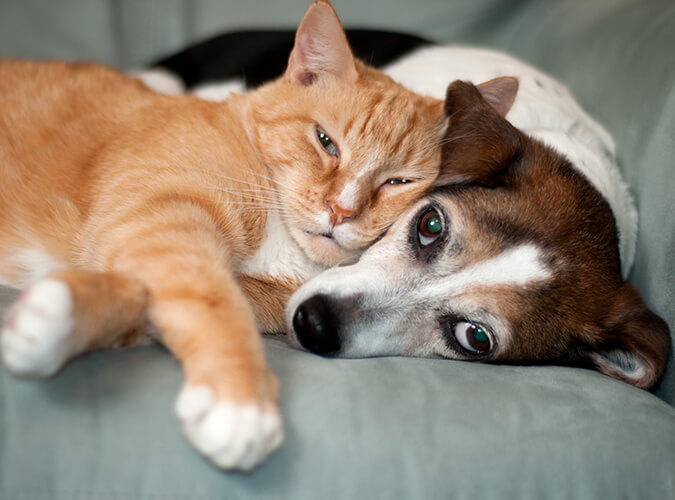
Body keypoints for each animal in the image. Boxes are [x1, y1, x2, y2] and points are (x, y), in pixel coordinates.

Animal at [0, 0, 516, 468]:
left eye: (398, 182)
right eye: (325, 141)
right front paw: (239, 403)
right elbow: (212, 302)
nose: (340, 210)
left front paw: (53, 319)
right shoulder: (164, 219)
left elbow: (143, 302)